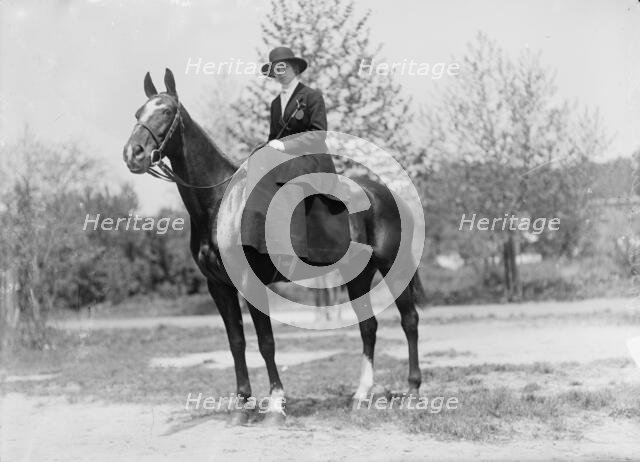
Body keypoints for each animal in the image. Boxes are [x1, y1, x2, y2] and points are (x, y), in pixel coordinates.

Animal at [123, 68, 426, 426]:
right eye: (138, 113)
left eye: (167, 111)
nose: (133, 154)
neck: (220, 204)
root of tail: (388, 194)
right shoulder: (218, 287)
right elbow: (236, 342)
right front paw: (243, 404)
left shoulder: (251, 283)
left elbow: (266, 342)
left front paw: (276, 405)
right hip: (357, 276)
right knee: (369, 327)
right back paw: (361, 395)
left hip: (393, 268)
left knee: (409, 321)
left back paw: (413, 391)